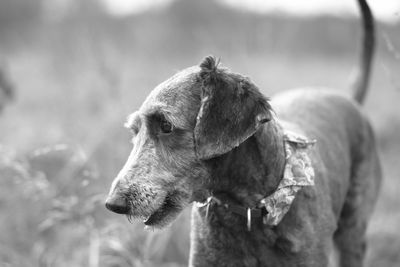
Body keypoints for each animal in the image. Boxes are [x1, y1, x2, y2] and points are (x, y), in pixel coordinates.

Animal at [105, 1, 382, 266]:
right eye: (135, 131)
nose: (113, 204)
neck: (250, 209)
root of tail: (348, 98)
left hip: (353, 233)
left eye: (165, 125)